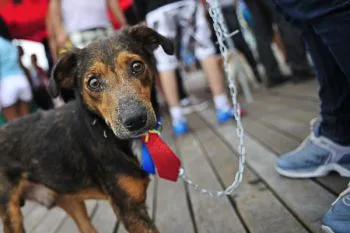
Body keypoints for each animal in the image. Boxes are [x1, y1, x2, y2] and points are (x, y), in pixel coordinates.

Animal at [0, 25, 174, 233]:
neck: (105, 131)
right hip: (11, 212)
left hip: (69, 199)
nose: (136, 120)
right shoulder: (129, 208)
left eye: (137, 66)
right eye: (94, 83)